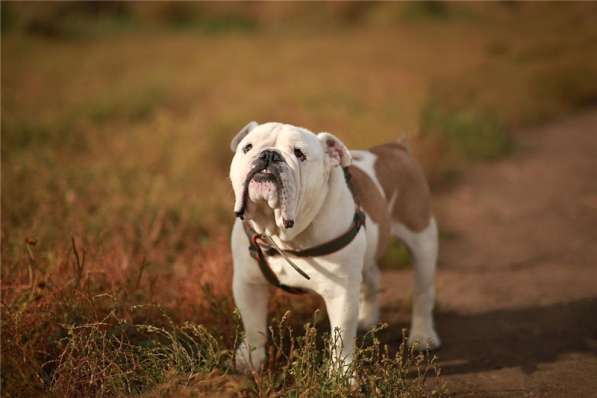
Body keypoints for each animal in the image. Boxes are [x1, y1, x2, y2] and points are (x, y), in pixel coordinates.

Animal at [228, 122, 438, 374]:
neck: (283, 234)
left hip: (422, 238)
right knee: (372, 277)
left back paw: (423, 337)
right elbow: (253, 324)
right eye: (247, 147)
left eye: (299, 153)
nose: (269, 155)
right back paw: (367, 318)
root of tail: (397, 148)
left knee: (422, 291)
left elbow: (342, 339)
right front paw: (250, 358)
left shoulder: (341, 293)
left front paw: (341, 376)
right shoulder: (248, 283)